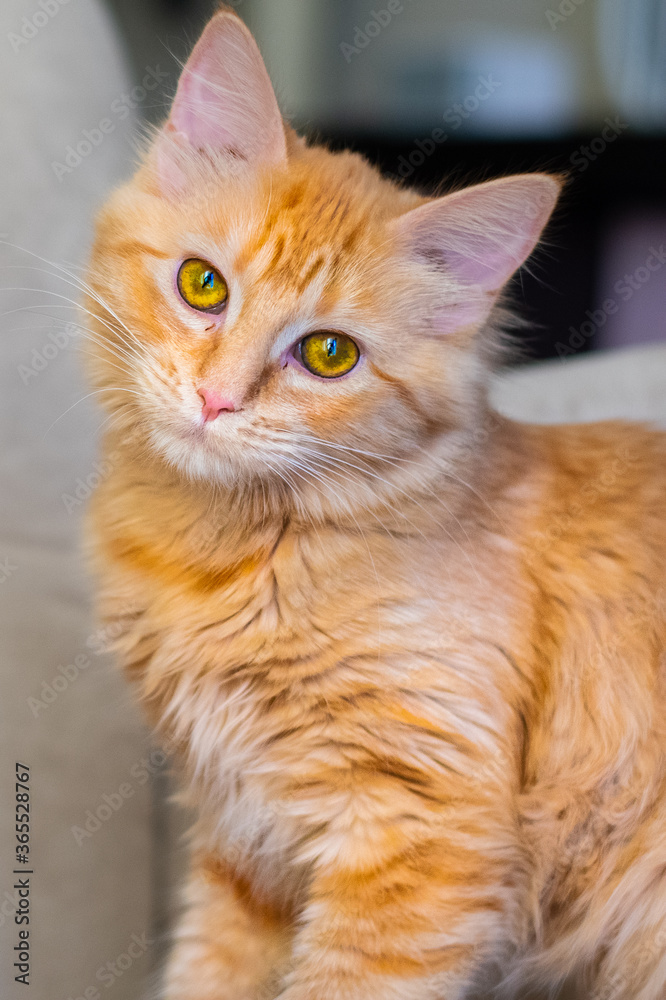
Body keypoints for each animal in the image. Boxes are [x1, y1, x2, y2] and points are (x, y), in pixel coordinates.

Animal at [83, 3, 664, 996]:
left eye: (328, 355)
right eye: (204, 285)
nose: (216, 400)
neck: (226, 558)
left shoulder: (420, 827)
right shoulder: (245, 848)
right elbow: (208, 973)